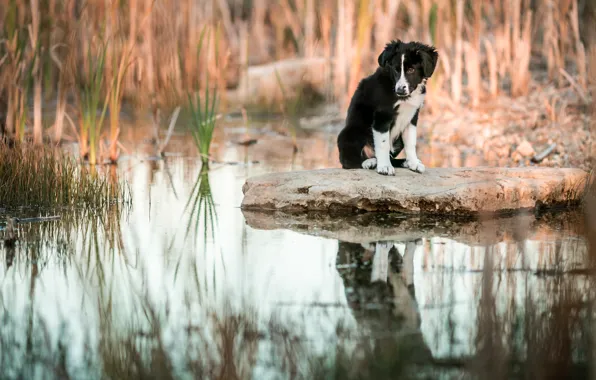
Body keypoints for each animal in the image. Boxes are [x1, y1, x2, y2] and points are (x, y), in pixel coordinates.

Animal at [338, 39, 440, 176]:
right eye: (396, 70)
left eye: (411, 70)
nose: (399, 89)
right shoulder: (382, 115)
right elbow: (383, 144)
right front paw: (385, 167)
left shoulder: (412, 116)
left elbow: (411, 142)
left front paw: (413, 163)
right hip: (350, 131)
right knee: (347, 161)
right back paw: (369, 162)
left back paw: (403, 162)